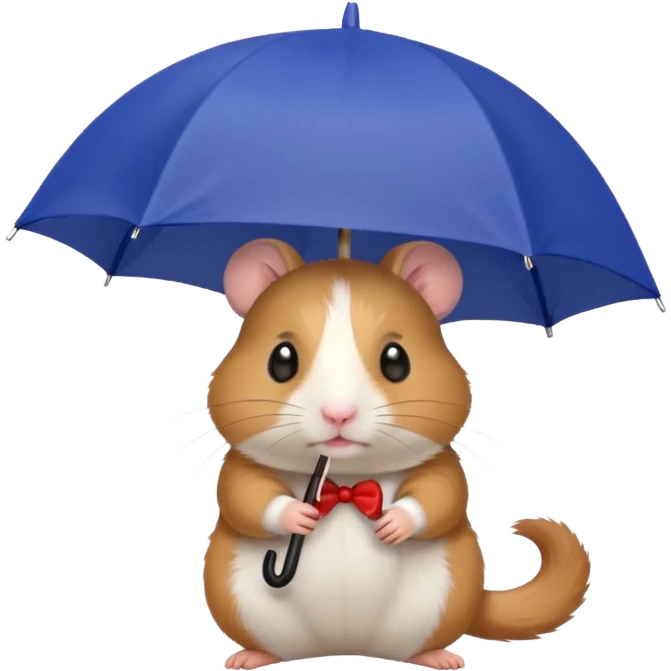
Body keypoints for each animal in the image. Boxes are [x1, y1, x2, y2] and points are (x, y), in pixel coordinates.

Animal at [201, 238, 591, 671]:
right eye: (281, 360)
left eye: (396, 360)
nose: (339, 413)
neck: (345, 482)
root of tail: (343, 646)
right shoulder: (240, 467)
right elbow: (243, 497)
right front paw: (296, 514)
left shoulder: (443, 464)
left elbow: (442, 496)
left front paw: (396, 523)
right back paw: (251, 655)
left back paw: (438, 656)